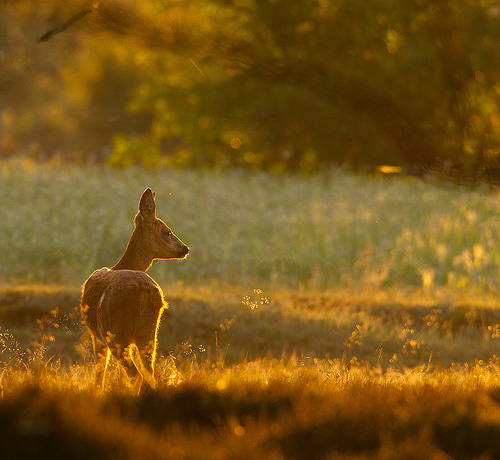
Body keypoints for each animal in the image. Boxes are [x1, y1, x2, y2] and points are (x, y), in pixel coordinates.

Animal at [81, 189, 188, 394]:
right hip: (148, 334)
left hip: (115, 334)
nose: (185, 248)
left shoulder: (97, 337)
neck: (120, 265)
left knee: (135, 375)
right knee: (149, 374)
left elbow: (99, 376)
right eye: (168, 232)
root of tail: (144, 292)